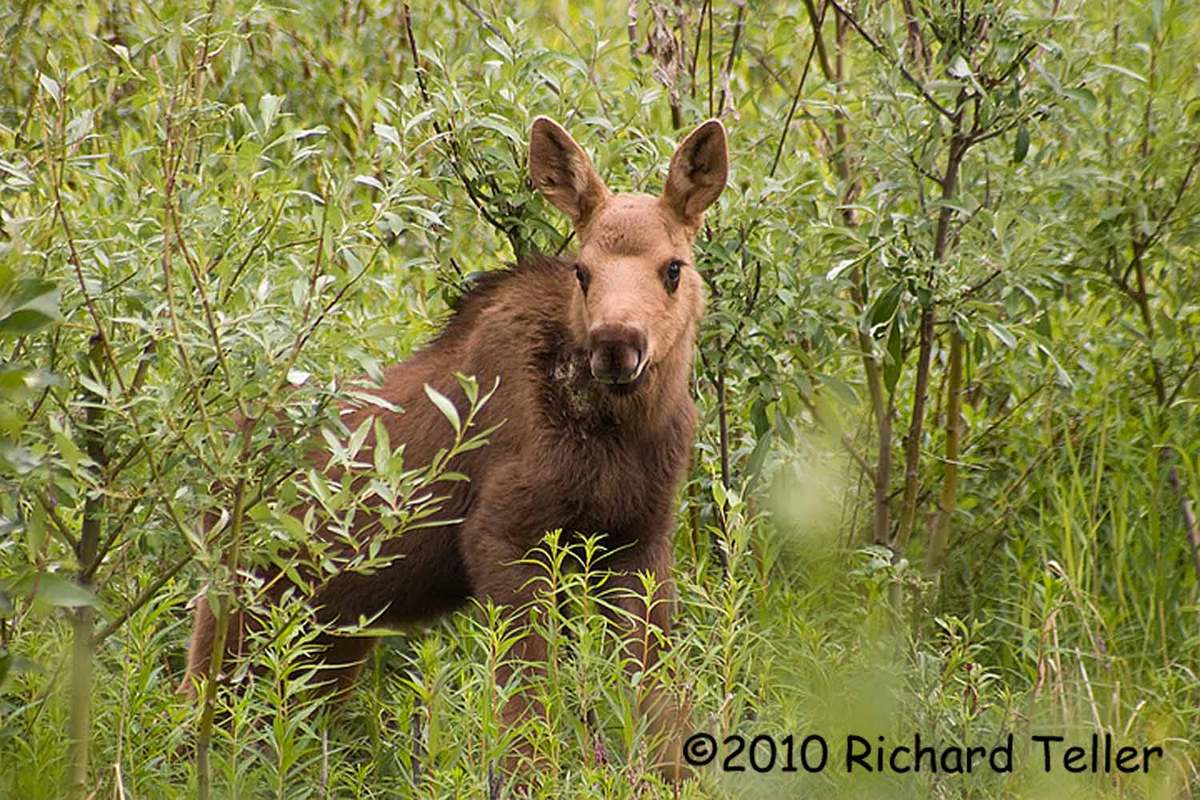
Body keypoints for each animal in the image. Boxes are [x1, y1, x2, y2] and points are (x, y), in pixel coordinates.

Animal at [182, 115, 728, 781]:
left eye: (673, 267)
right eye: (583, 271)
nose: (615, 344)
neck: (620, 434)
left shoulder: (641, 540)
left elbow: (656, 697)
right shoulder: (503, 534)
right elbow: (525, 701)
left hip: (334, 625)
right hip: (242, 594)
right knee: (199, 703)